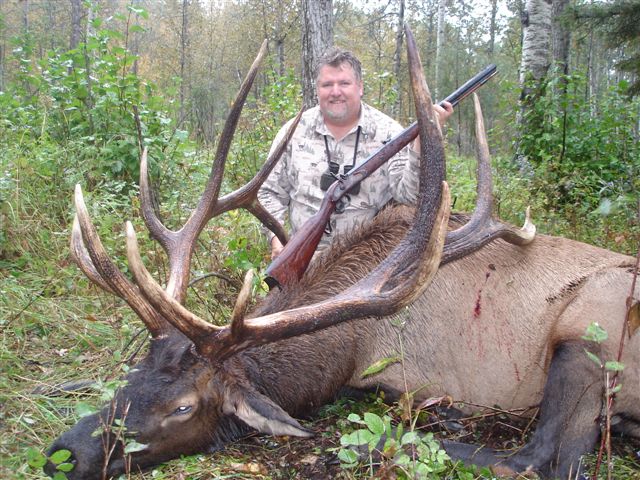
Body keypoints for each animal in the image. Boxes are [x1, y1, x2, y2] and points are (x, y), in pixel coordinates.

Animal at [45, 28, 639, 480]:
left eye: (184, 406)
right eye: (133, 374)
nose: (62, 452)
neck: (350, 347)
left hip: (591, 329)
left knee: (544, 457)